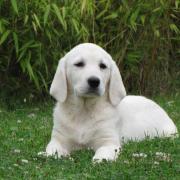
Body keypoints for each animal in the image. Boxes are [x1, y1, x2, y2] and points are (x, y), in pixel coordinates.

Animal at [45, 42, 178, 162]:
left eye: (103, 66)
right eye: (79, 64)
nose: (94, 81)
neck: (84, 110)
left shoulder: (109, 141)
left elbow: (103, 153)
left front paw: (99, 160)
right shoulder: (58, 139)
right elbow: (52, 151)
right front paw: (59, 156)